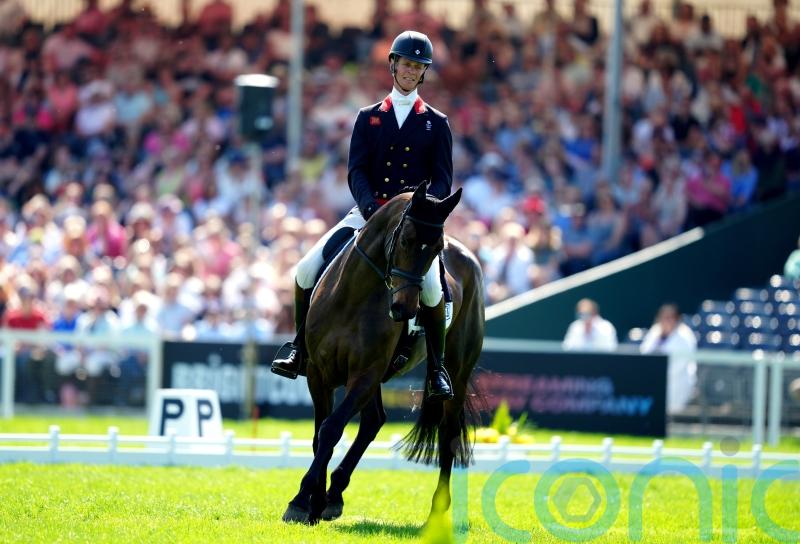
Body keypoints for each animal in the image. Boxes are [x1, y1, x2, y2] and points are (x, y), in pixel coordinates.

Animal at [281, 182, 484, 525]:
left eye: (436, 248)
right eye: (405, 240)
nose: (405, 309)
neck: (354, 296)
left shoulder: (365, 373)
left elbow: (331, 428)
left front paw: (301, 499)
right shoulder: (318, 374)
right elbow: (320, 434)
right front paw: (312, 502)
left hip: (457, 371)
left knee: (448, 433)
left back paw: (437, 510)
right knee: (374, 420)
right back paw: (334, 495)